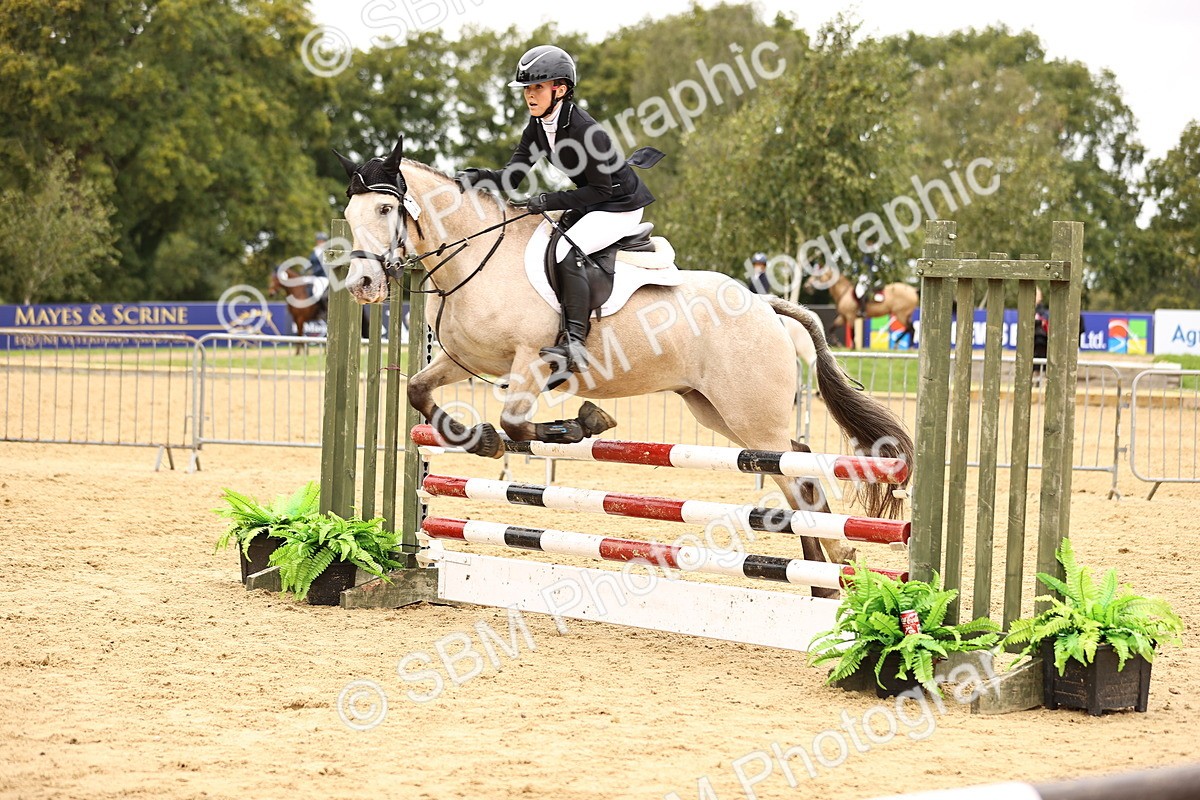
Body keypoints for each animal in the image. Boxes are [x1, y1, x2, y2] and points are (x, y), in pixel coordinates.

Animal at [336, 138, 913, 592]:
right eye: (349, 216)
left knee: (801, 472)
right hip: (718, 412)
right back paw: (825, 571)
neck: (475, 259)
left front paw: (583, 422)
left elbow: (516, 423)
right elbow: (418, 391)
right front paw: (478, 441)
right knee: (792, 465)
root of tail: (765, 305)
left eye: (385, 211)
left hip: (751, 414)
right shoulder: (464, 360)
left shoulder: (531, 362)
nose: (362, 286)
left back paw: (832, 567)